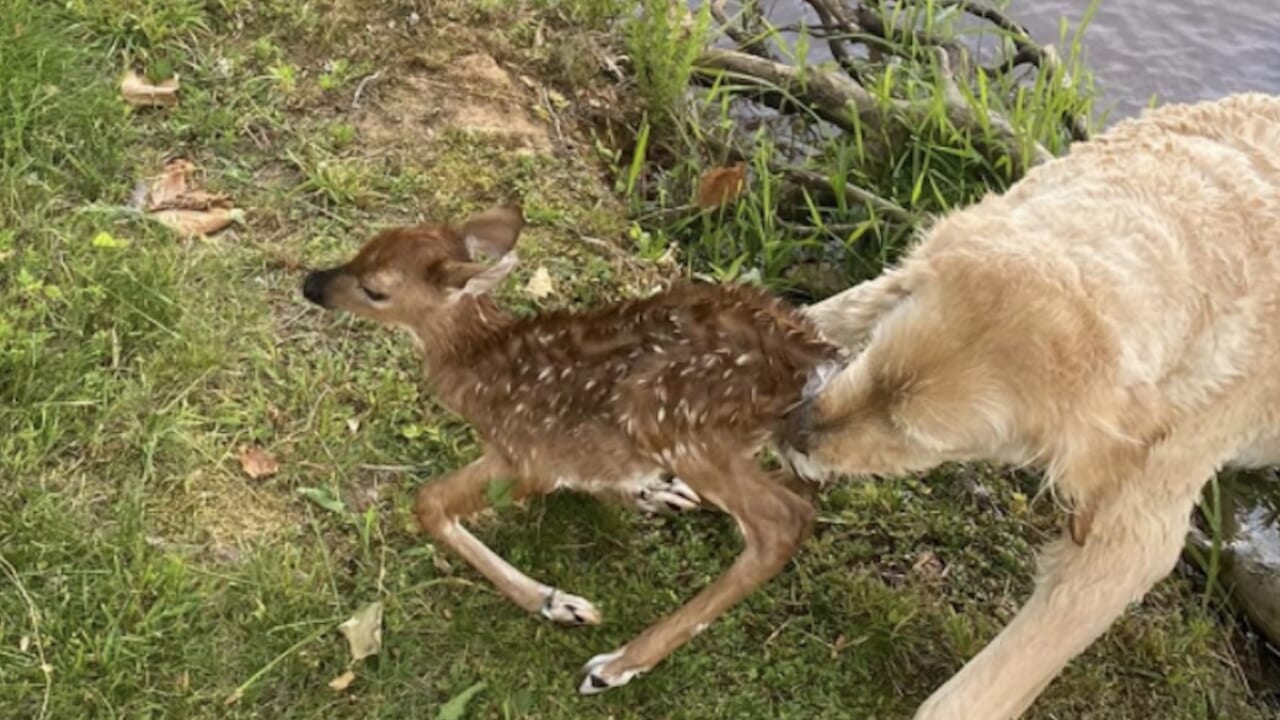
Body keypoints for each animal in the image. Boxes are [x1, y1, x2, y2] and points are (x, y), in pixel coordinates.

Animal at [301, 205, 841, 694]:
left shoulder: (525, 451)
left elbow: (428, 502)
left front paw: (557, 603)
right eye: (364, 247)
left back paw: (615, 666)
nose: (311, 283)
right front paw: (650, 495)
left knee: (784, 520)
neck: (477, 365)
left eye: (376, 289)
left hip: (674, 421)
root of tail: (812, 355)